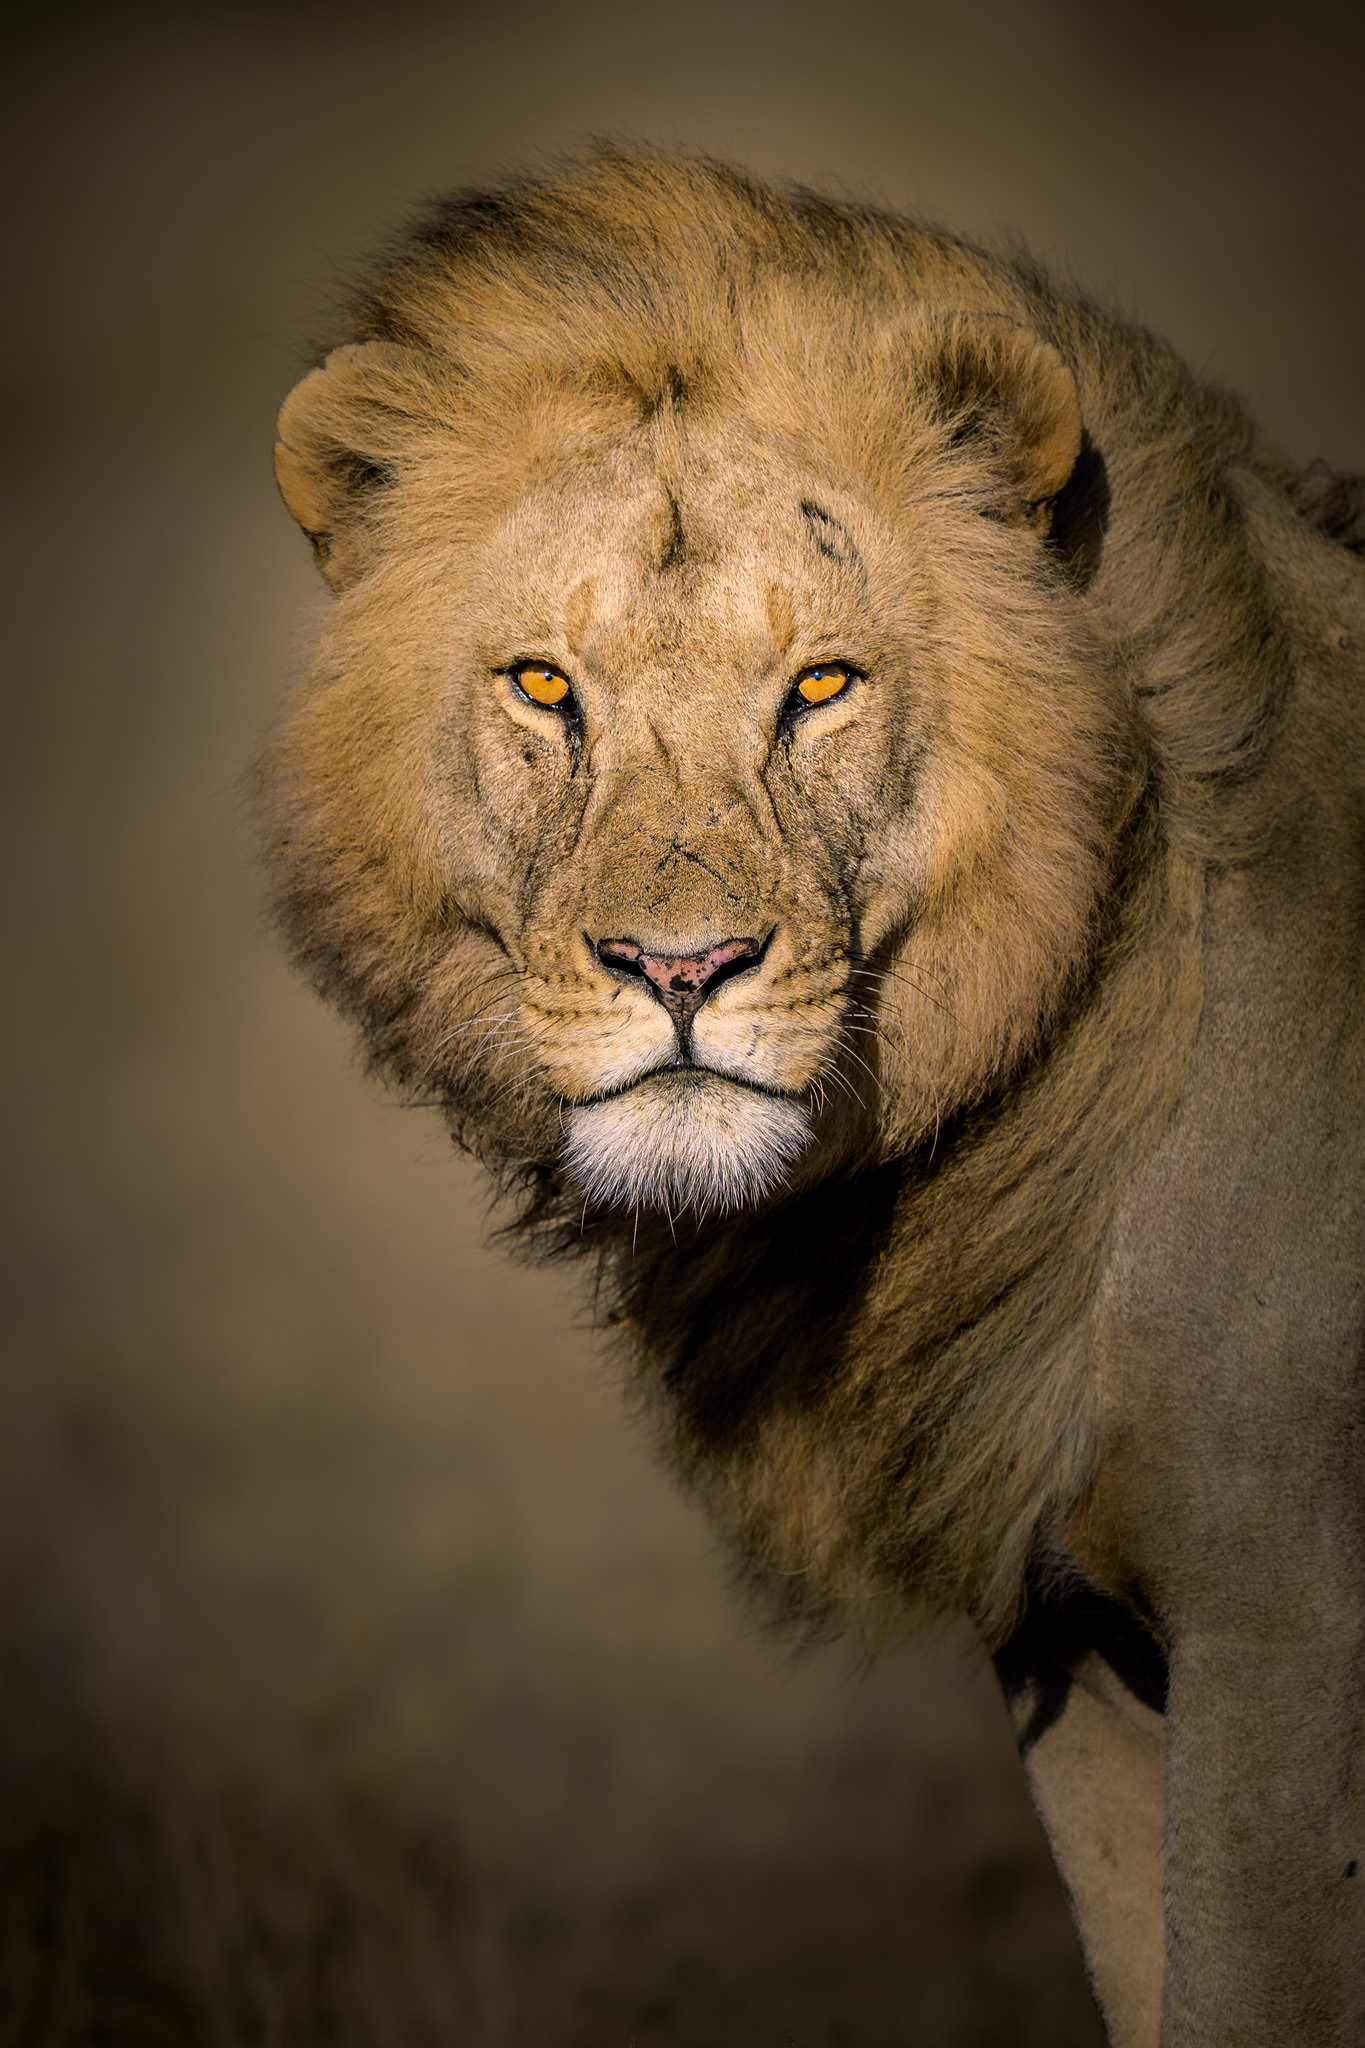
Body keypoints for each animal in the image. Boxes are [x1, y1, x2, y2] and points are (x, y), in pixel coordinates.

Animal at [256, 146, 1365, 2045]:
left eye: (822, 685)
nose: (680, 967)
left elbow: (1252, 1996)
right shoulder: (1077, 1640)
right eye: (545, 684)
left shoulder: (1287, 1621)